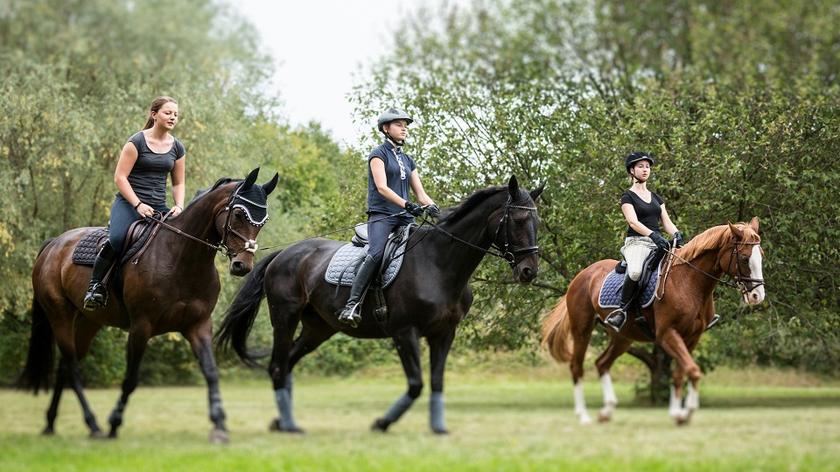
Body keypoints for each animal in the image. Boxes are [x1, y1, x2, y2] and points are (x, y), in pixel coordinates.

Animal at [18, 167, 278, 442]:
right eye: (238, 214)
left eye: (263, 221)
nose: (242, 266)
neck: (182, 258)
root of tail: (54, 243)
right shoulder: (141, 328)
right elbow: (131, 379)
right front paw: (114, 423)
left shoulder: (198, 326)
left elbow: (211, 372)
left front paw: (219, 425)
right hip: (60, 316)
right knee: (73, 368)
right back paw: (94, 425)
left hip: (88, 322)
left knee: (65, 368)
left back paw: (51, 423)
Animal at [217, 175, 540, 434]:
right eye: (518, 221)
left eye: (537, 223)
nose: (529, 271)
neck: (439, 264)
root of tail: (284, 254)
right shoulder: (404, 332)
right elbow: (416, 384)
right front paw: (382, 423)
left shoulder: (444, 334)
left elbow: (436, 382)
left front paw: (438, 427)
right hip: (285, 318)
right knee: (277, 366)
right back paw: (287, 424)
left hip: (318, 328)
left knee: (288, 364)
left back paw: (284, 421)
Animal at [540, 219, 764, 426]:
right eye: (744, 258)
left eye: (761, 255)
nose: (757, 296)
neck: (689, 282)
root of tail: (582, 275)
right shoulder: (667, 334)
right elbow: (693, 370)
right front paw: (687, 413)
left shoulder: (692, 337)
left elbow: (680, 373)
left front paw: (678, 413)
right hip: (582, 330)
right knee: (576, 367)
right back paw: (584, 416)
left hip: (622, 337)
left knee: (602, 363)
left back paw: (607, 411)